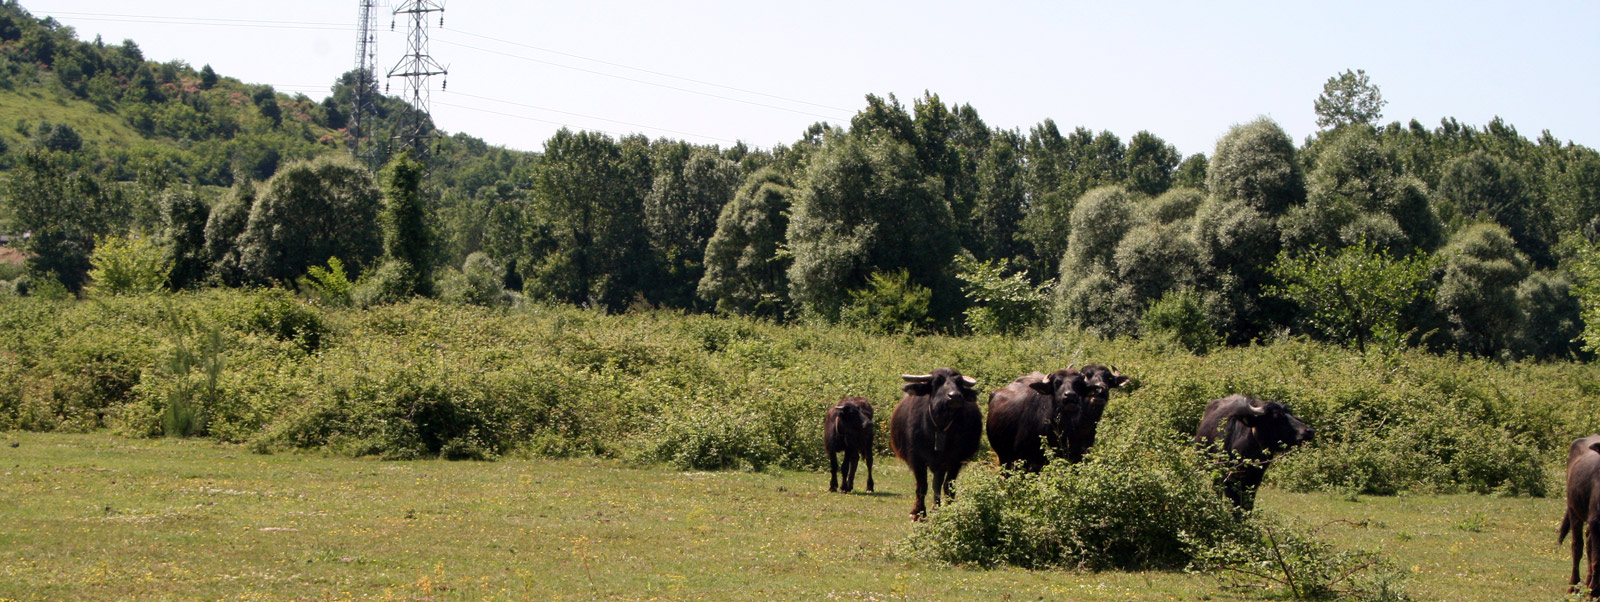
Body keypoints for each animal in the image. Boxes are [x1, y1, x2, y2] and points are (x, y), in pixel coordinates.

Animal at [889, 369, 985, 518]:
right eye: (937, 382)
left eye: (959, 383)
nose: (955, 396)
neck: (940, 426)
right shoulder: (916, 460)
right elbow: (922, 486)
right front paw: (918, 513)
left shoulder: (955, 462)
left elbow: (948, 487)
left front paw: (947, 510)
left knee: (938, 484)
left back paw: (936, 507)